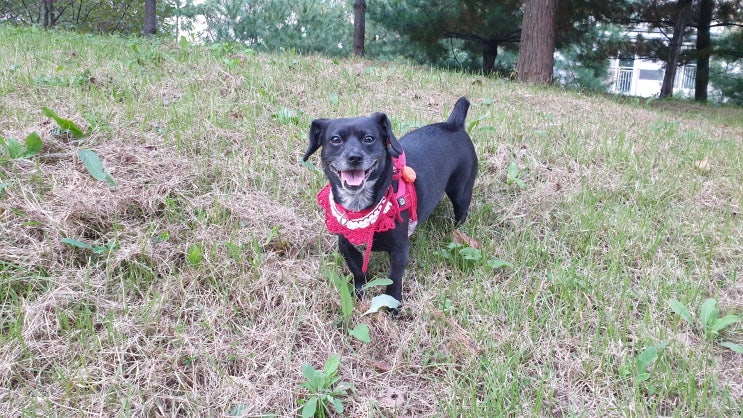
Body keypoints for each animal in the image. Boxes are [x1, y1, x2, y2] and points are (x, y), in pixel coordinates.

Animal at [306, 98, 480, 306]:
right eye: (335, 140)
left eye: (369, 139)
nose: (354, 157)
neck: (361, 206)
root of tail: (453, 124)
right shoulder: (346, 246)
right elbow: (357, 272)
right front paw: (359, 293)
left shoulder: (399, 250)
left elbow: (394, 277)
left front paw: (393, 302)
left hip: (461, 191)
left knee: (461, 212)